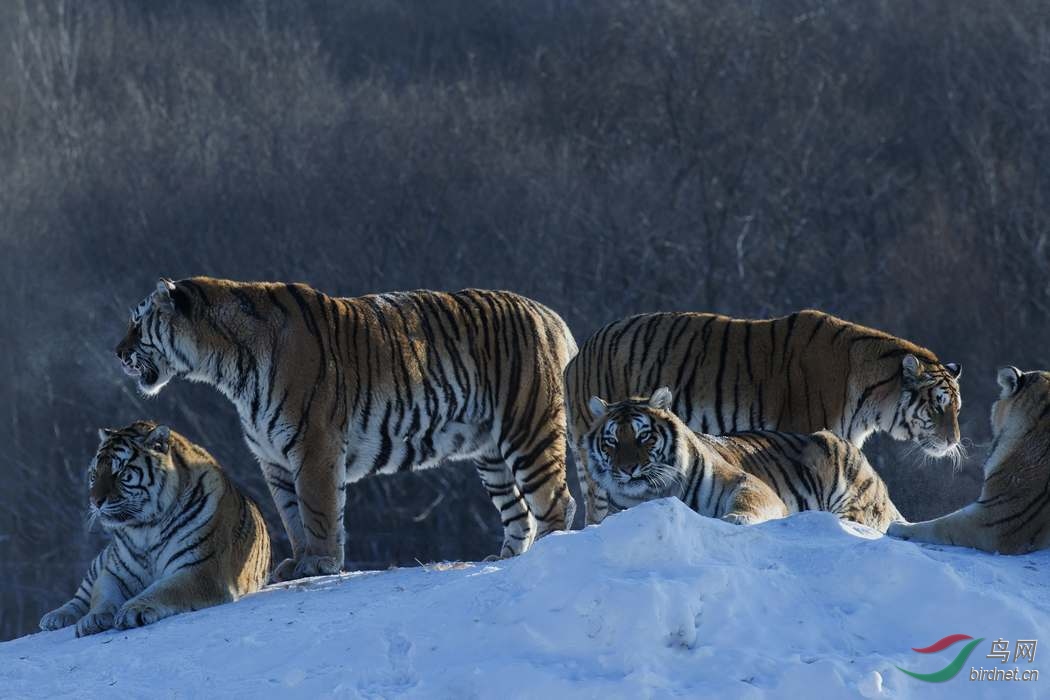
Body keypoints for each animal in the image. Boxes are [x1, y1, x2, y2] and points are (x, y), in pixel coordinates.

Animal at [39, 421, 271, 637]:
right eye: (94, 474)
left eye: (120, 472)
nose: (94, 502)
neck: (145, 528)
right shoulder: (114, 572)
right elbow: (101, 596)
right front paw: (92, 619)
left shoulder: (201, 569)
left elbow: (164, 589)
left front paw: (132, 610)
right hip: (102, 559)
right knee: (80, 595)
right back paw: (54, 617)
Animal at [115, 277, 577, 581]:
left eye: (138, 324)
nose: (118, 353)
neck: (224, 368)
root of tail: (551, 315)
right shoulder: (272, 460)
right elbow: (291, 515)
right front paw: (298, 563)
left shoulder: (313, 444)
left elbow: (317, 510)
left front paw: (319, 563)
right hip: (490, 453)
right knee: (520, 514)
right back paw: (505, 559)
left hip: (527, 429)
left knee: (556, 502)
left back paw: (550, 554)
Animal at [586, 388, 903, 530]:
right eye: (612, 441)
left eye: (644, 437)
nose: (628, 469)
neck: (655, 492)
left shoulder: (748, 483)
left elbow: (746, 501)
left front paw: (734, 519)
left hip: (856, 503)